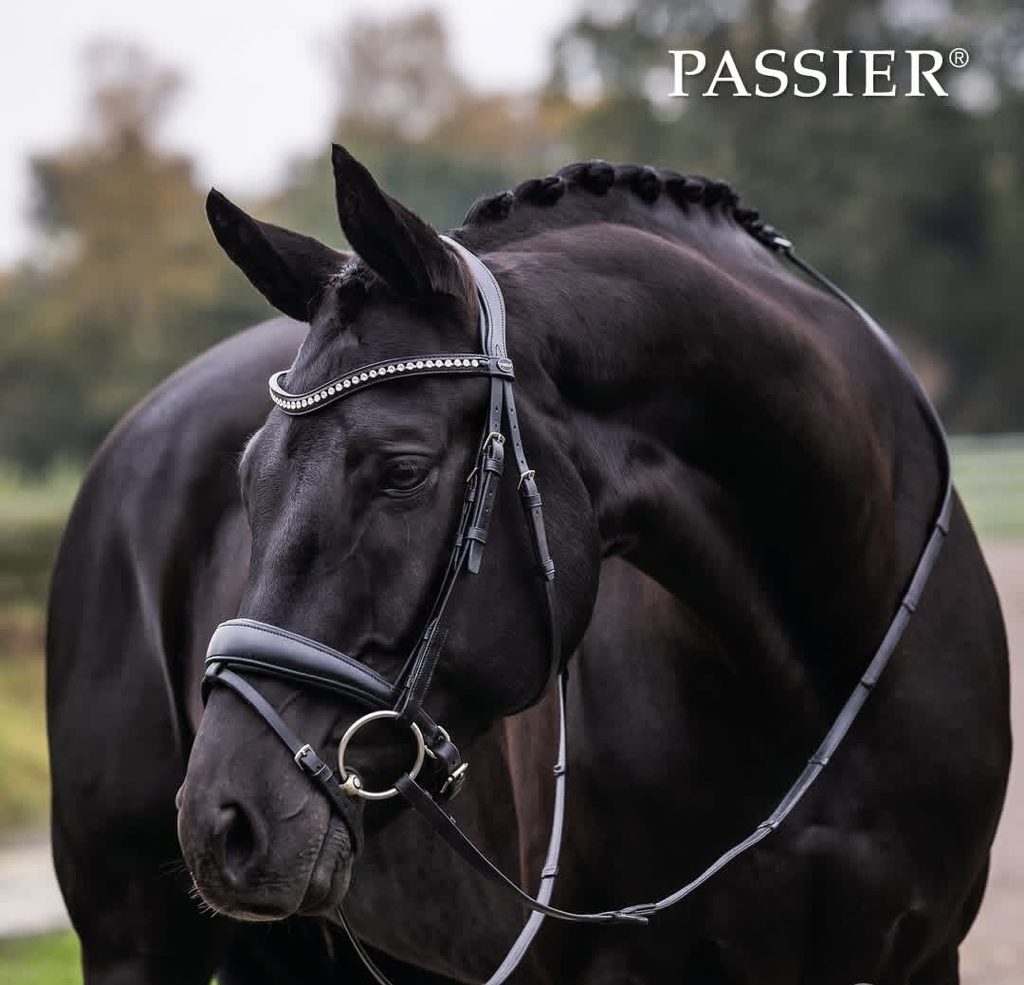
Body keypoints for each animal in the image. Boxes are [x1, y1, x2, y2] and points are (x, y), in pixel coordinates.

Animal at [47, 147, 1011, 985]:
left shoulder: (929, 954)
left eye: (403, 471)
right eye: (249, 478)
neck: (813, 666)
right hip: (135, 941)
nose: (221, 820)